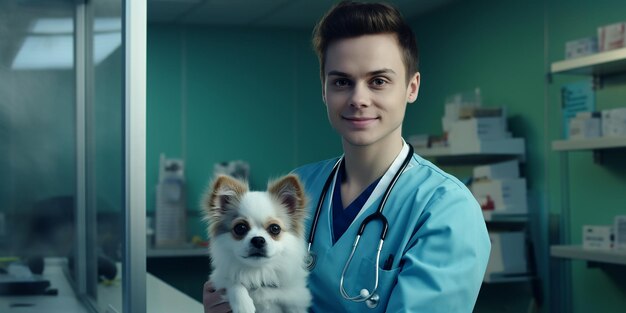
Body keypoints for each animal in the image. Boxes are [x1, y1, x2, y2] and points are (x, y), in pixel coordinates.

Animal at [204, 174, 310, 312]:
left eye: (275, 228)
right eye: (240, 228)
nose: (258, 240)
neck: (257, 274)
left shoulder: (295, 301)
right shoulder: (218, 278)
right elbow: (233, 281)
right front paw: (243, 305)